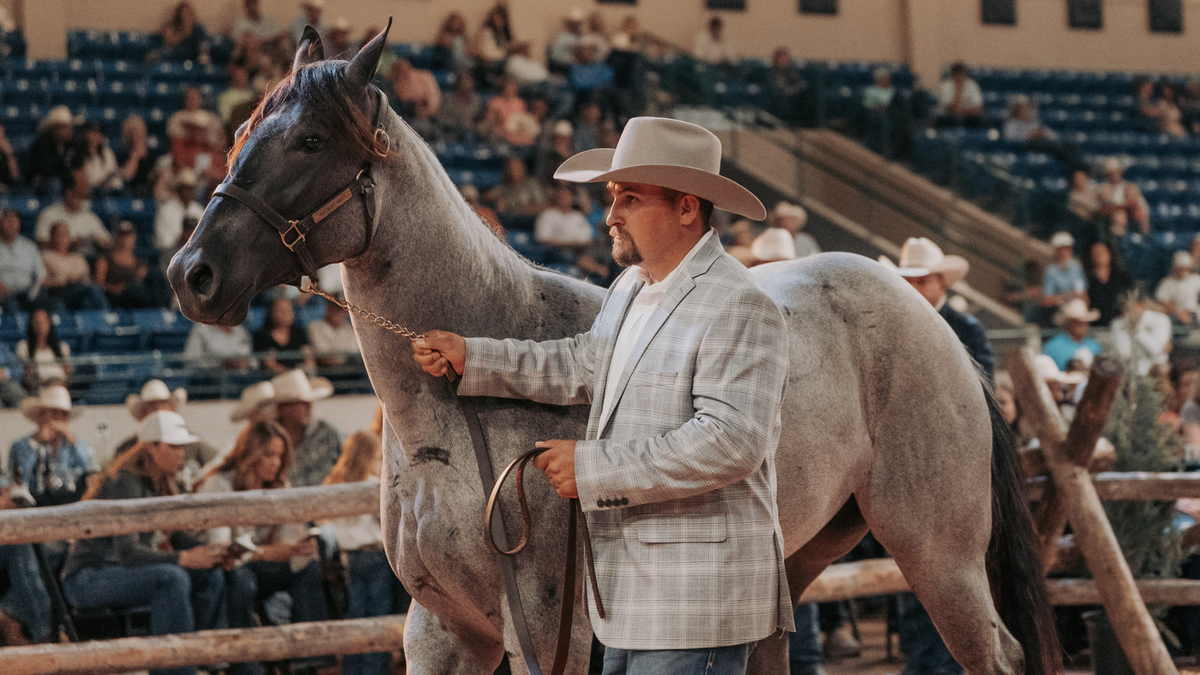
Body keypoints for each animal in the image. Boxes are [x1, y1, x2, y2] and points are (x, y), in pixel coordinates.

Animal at [169, 25, 1058, 675]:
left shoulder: (545, 632)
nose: (191, 274)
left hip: (940, 555)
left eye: (311, 142)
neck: (452, 419)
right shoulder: (443, 630)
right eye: (241, 131)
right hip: (792, 564)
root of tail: (934, 324)